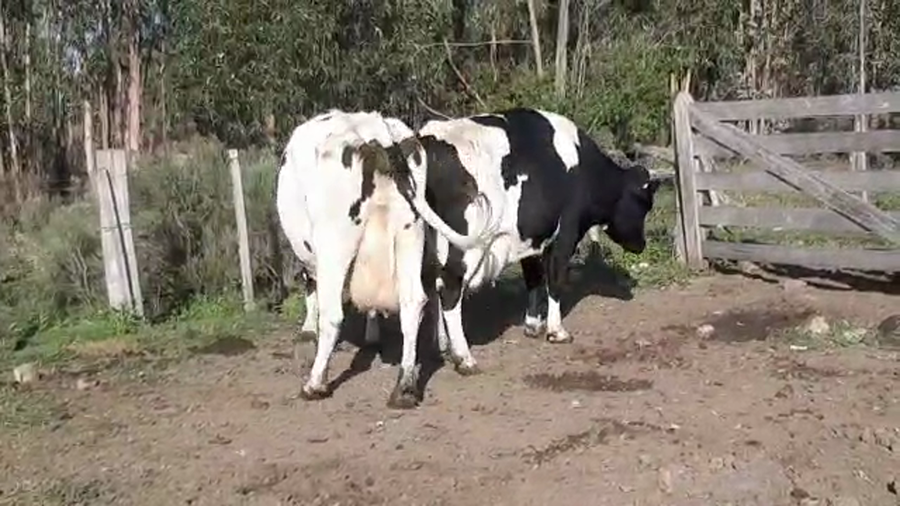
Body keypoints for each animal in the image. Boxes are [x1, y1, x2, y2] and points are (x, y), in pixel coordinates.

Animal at [275, 109, 497, 408]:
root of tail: (377, 130)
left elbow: (312, 290)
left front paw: (308, 333)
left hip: (335, 242)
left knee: (333, 313)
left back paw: (315, 383)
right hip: (410, 232)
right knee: (413, 302)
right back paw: (404, 387)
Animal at [415, 107, 662, 374]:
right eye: (644, 203)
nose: (641, 244)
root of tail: (430, 136)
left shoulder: (530, 238)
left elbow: (533, 278)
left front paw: (533, 325)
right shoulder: (565, 234)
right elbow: (555, 279)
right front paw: (557, 331)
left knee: (434, 286)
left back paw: (442, 345)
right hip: (465, 246)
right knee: (449, 289)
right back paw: (463, 358)